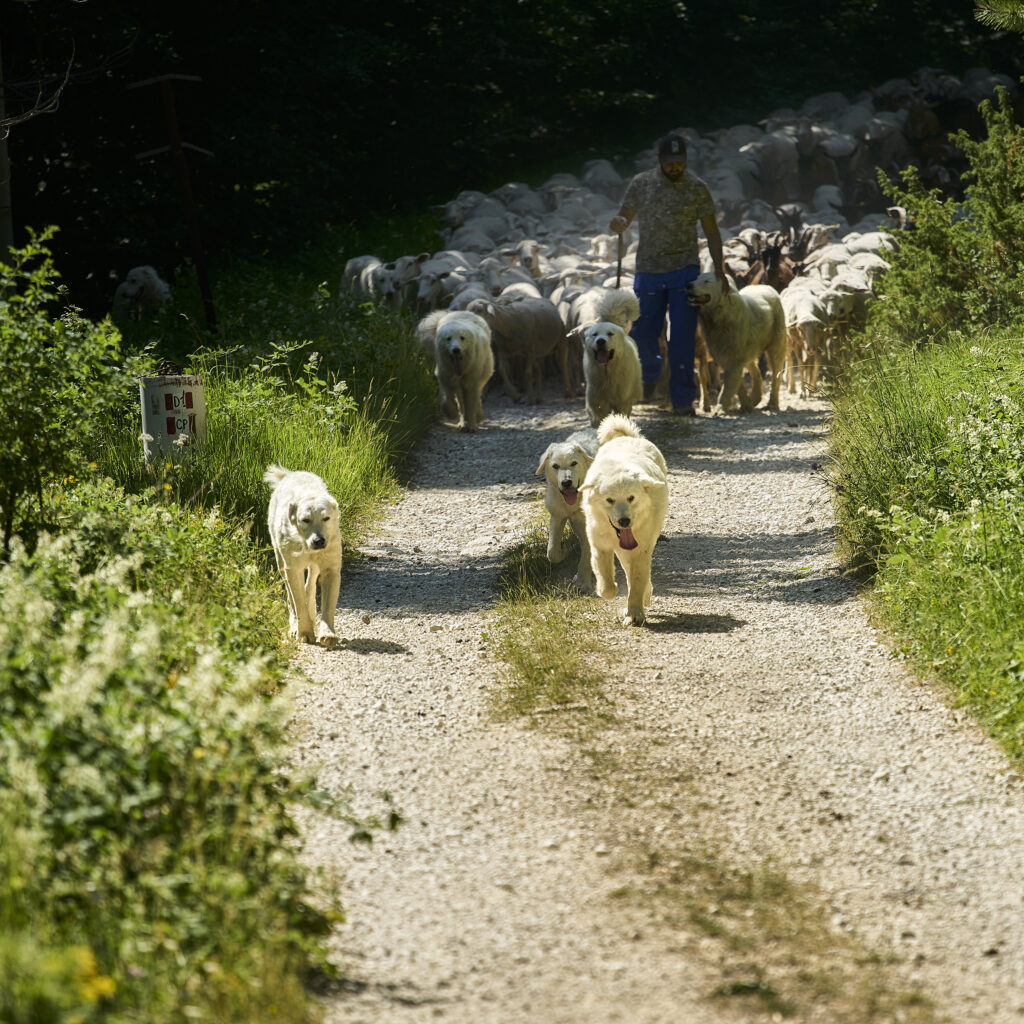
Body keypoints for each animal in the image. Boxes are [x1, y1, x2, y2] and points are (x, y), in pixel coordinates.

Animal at [264, 466, 344, 647]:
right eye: (305, 520)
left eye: (326, 518)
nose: (319, 540)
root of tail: (289, 474)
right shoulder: (293, 567)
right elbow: (298, 601)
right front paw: (305, 632)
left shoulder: (331, 566)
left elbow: (328, 604)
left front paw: (328, 634)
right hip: (280, 559)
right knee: (290, 594)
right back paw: (295, 625)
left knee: (311, 581)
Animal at [536, 425, 598, 593]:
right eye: (555, 466)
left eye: (574, 463)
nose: (566, 482)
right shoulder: (557, 516)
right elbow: (551, 552)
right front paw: (563, 551)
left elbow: (586, 555)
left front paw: (583, 582)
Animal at [581, 413, 667, 622]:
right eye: (609, 500)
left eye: (631, 498)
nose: (624, 521)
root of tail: (629, 437)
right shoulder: (600, 545)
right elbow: (605, 578)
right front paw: (609, 590)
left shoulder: (641, 548)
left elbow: (636, 581)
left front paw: (635, 614)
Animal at [684, 276, 786, 415]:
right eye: (697, 278)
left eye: (707, 281)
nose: (688, 285)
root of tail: (767, 286)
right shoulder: (723, 351)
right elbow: (736, 380)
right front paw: (746, 406)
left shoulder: (734, 354)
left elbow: (731, 379)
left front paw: (720, 409)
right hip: (750, 346)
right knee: (755, 370)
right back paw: (755, 399)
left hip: (777, 339)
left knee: (776, 370)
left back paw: (772, 405)